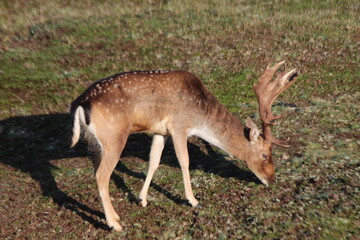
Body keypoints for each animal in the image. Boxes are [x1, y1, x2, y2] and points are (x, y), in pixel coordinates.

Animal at [69, 60, 298, 231]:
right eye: (265, 155)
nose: (272, 179)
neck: (199, 118)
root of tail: (81, 104)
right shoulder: (179, 126)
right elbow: (184, 161)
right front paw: (193, 200)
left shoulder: (160, 132)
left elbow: (154, 161)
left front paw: (143, 199)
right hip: (113, 138)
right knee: (101, 176)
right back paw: (115, 224)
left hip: (95, 143)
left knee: (98, 172)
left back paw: (115, 215)